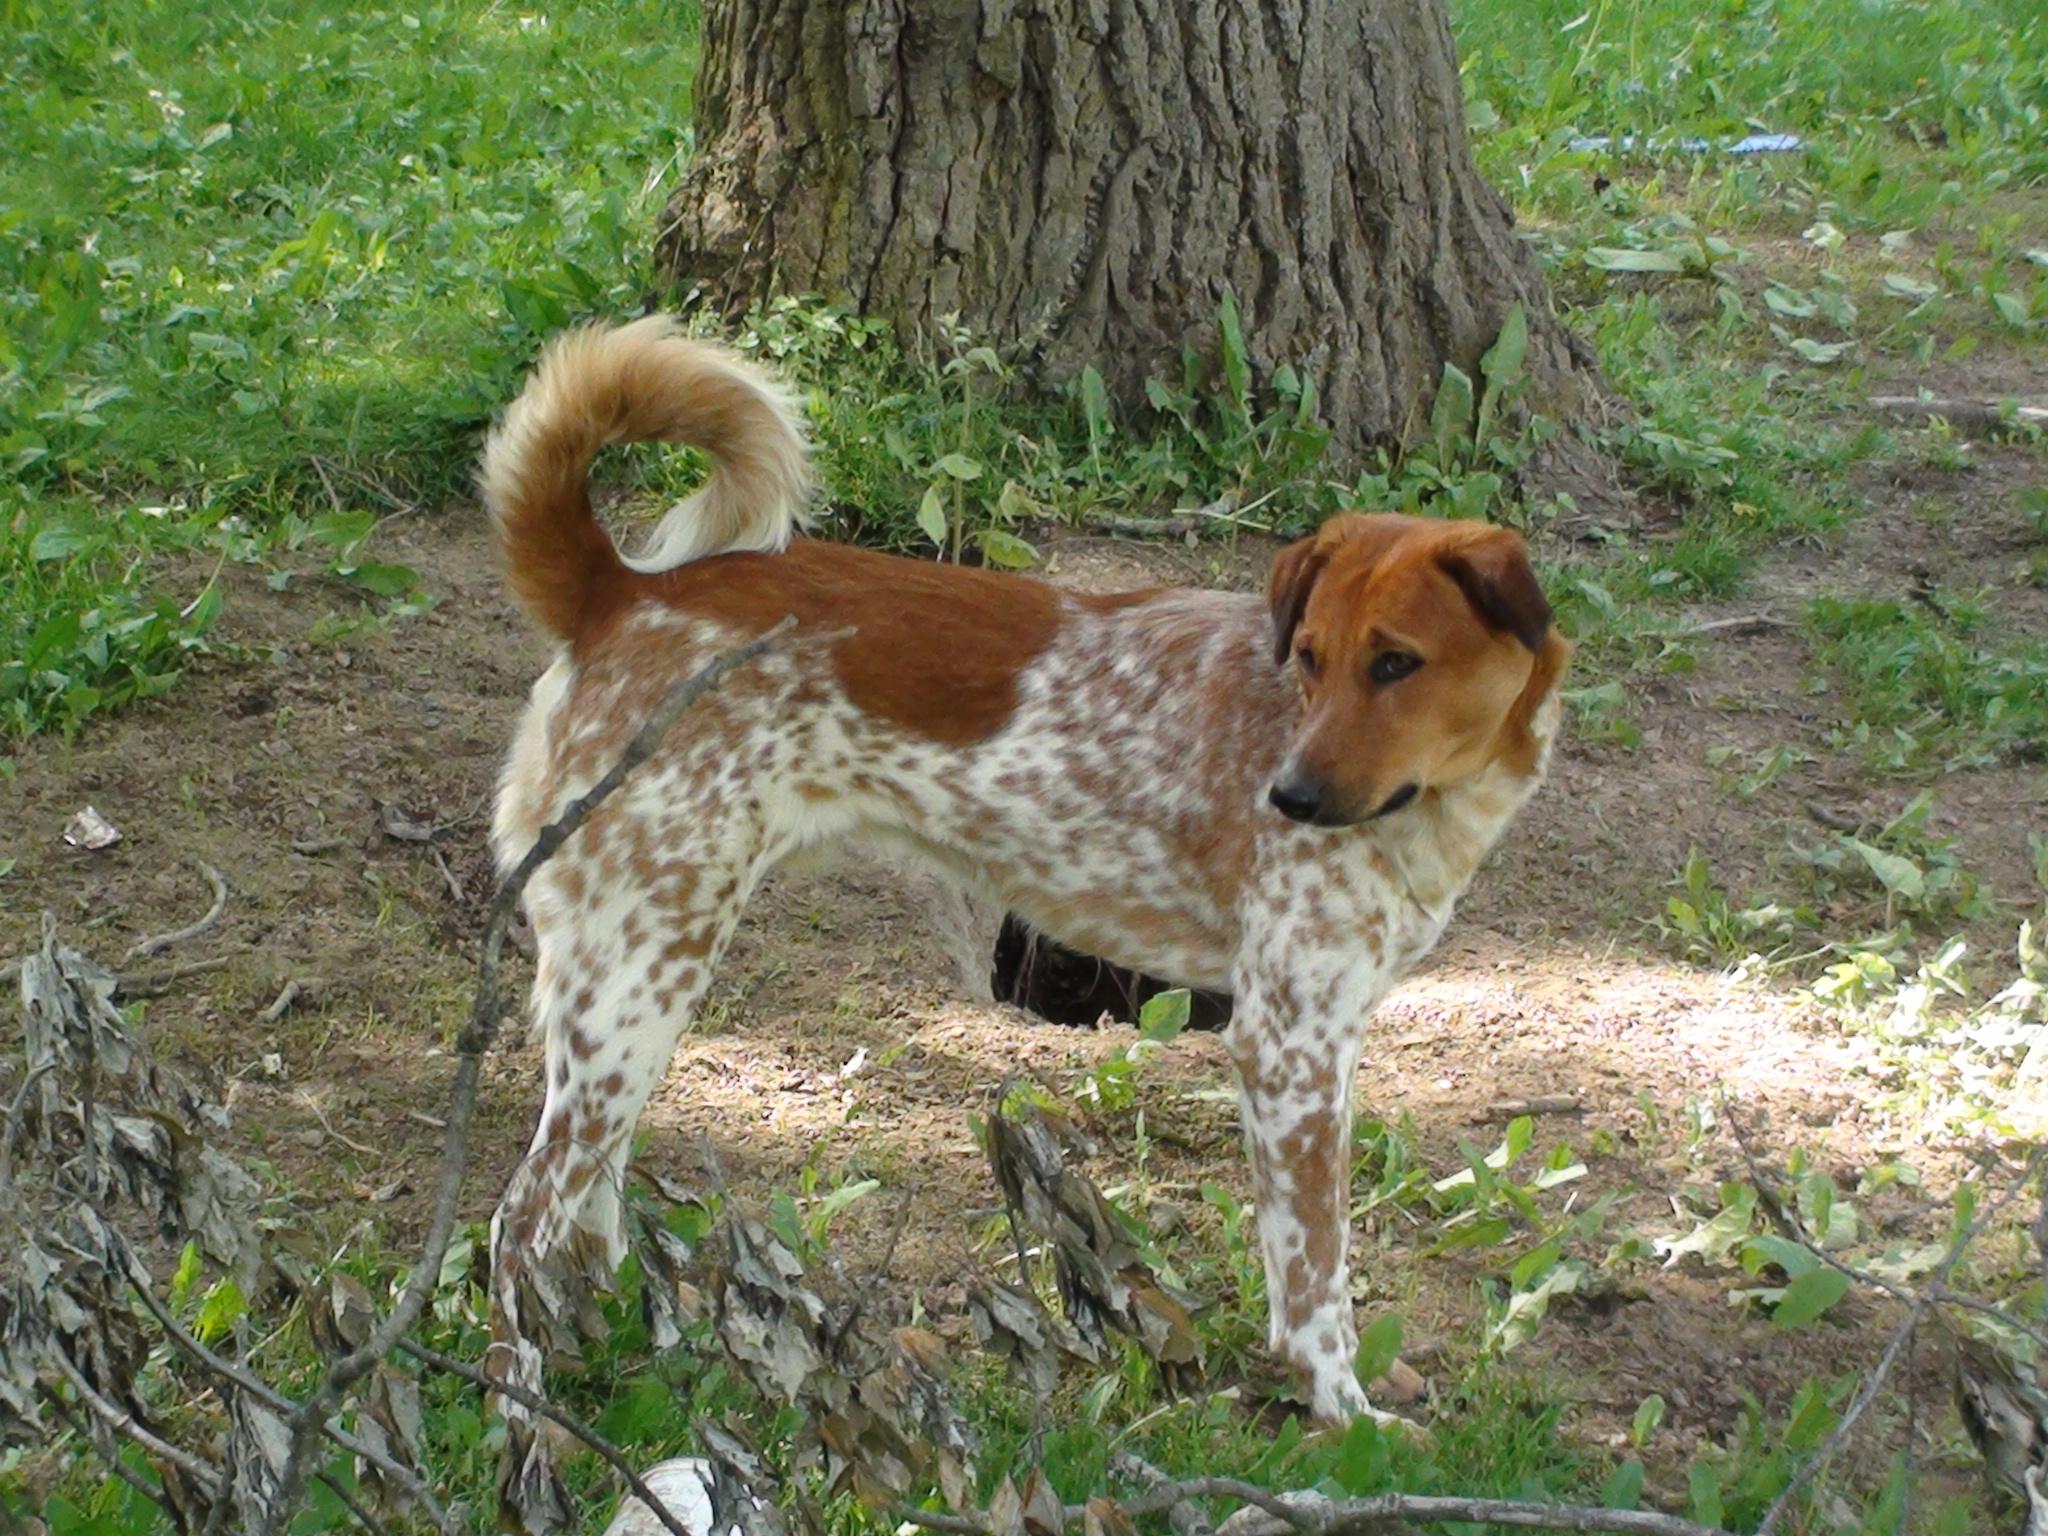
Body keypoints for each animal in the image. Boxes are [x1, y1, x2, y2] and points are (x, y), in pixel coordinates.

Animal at [479, 319, 1564, 1441]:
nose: (1289, 798)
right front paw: (1340, 1413)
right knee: (519, 1219)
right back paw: (527, 1414)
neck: (1431, 805)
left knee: (591, 1204)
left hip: (632, 989)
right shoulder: (1288, 1046)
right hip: (644, 974)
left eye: (1396, 663)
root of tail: (618, 590)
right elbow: (1315, 1279)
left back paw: (632, 1347)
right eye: (1308, 657)